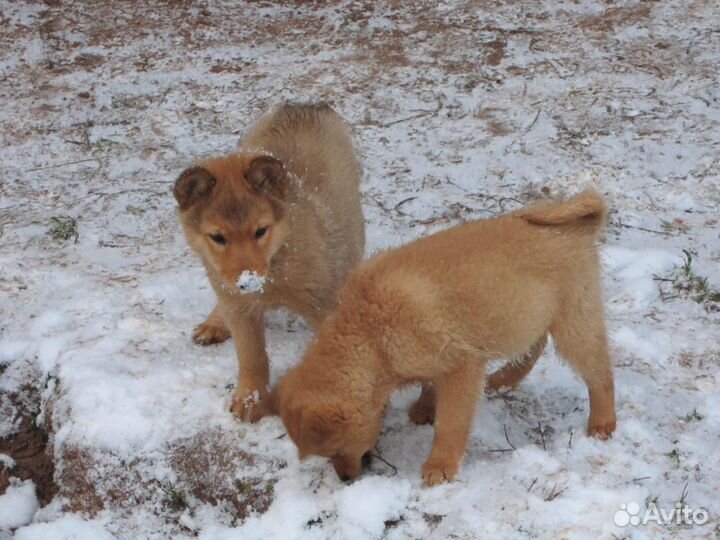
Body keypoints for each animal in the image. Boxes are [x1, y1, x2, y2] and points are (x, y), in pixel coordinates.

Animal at [174, 102, 366, 422]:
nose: (248, 280)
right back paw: (215, 322)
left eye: (260, 231)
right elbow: (252, 357)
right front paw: (250, 399)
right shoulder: (239, 307)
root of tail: (304, 104)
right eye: (217, 237)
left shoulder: (324, 306)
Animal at [276, 191, 612, 486]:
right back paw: (503, 379)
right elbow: (429, 384)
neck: (369, 335)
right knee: (535, 345)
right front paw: (424, 408)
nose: (345, 479)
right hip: (524, 313)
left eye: (335, 450)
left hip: (574, 323)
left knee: (600, 373)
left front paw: (440, 465)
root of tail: (579, 227)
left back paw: (603, 422)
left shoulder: (460, 365)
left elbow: (450, 423)